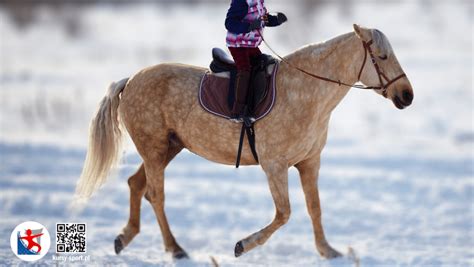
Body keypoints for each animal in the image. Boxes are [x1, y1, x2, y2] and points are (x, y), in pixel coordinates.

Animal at [75, 24, 414, 260]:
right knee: (155, 195)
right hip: (155, 150)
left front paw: (328, 252)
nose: (407, 95)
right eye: (382, 56)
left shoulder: (309, 162)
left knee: (136, 185)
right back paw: (176, 249)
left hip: (166, 149)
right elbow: (284, 213)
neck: (305, 93)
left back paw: (125, 238)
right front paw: (242, 246)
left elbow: (314, 208)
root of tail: (130, 80)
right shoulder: (275, 165)